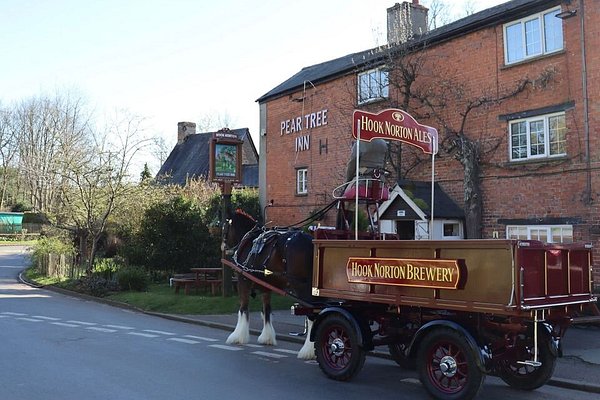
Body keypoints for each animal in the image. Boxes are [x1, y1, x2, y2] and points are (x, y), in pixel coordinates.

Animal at [219, 209, 314, 360]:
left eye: (224, 227)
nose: (223, 246)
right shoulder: (266, 286)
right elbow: (266, 310)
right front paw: (267, 337)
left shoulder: (243, 280)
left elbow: (243, 308)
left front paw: (238, 336)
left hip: (300, 285)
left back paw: (308, 350)